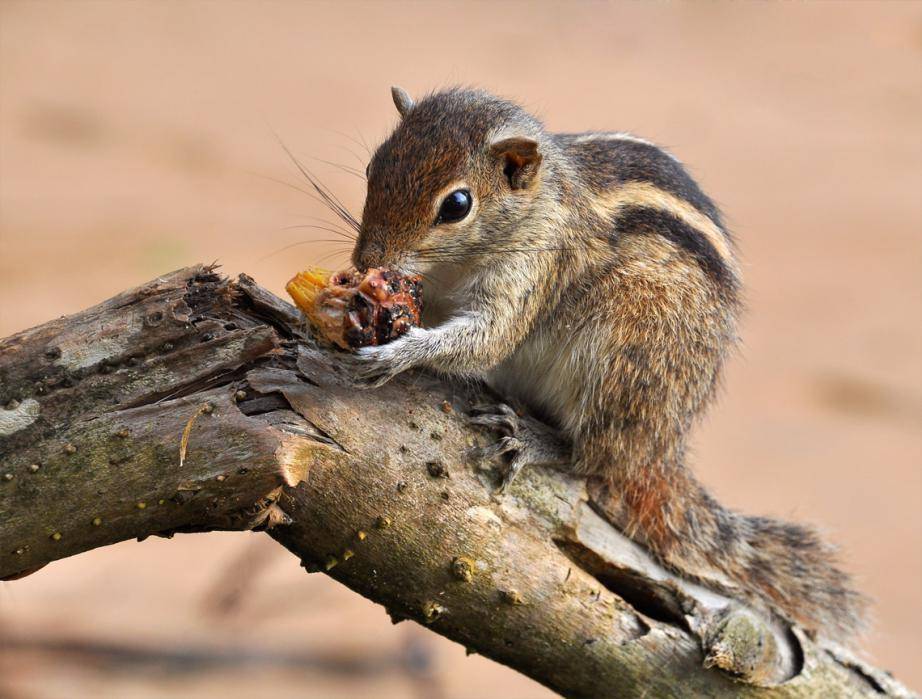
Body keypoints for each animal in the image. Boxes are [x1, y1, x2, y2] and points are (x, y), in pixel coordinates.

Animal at [348, 86, 868, 644]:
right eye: (373, 166)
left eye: (457, 205)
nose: (365, 262)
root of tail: (658, 450)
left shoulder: (533, 271)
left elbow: (488, 341)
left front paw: (397, 354)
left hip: (624, 359)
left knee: (592, 459)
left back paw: (532, 439)